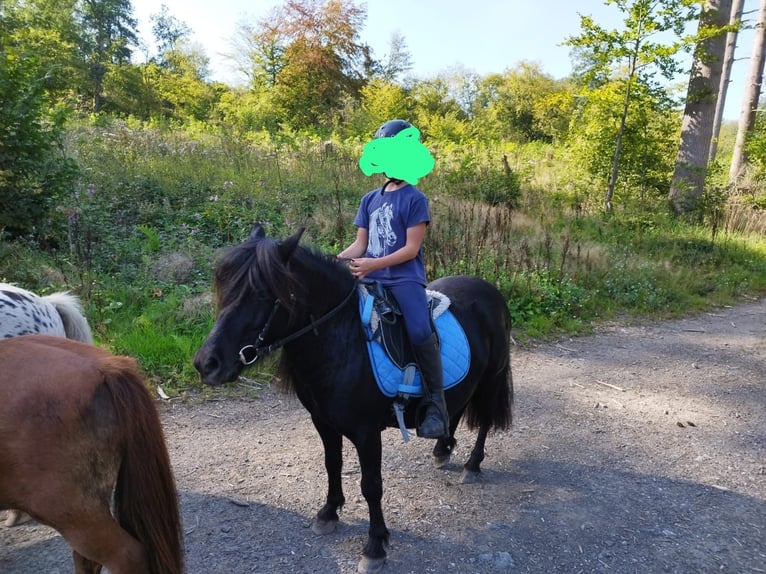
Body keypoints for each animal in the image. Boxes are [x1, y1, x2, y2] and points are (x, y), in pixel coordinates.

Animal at [194, 226, 516, 574]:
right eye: (224, 288)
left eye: (262, 295)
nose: (206, 364)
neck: (344, 341)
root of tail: (490, 290)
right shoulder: (322, 421)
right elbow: (332, 464)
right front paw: (329, 513)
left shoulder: (366, 432)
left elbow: (371, 485)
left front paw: (374, 546)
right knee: (452, 406)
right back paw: (442, 448)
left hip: (491, 377)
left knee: (484, 420)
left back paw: (472, 464)